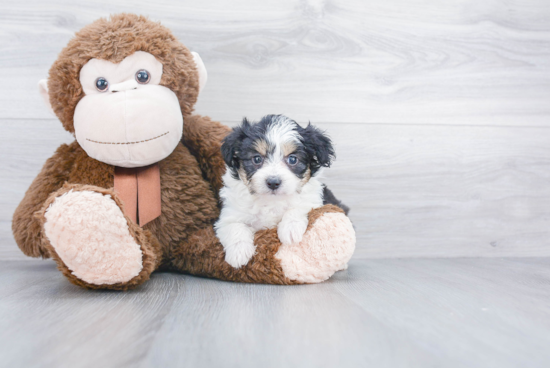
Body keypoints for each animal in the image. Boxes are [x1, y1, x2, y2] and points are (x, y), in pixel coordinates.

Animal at [216, 113, 350, 268]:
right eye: (257, 159)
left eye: (292, 159)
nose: (273, 182)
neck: (272, 200)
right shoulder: (230, 213)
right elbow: (234, 226)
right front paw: (238, 253)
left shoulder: (314, 198)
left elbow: (299, 206)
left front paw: (290, 229)